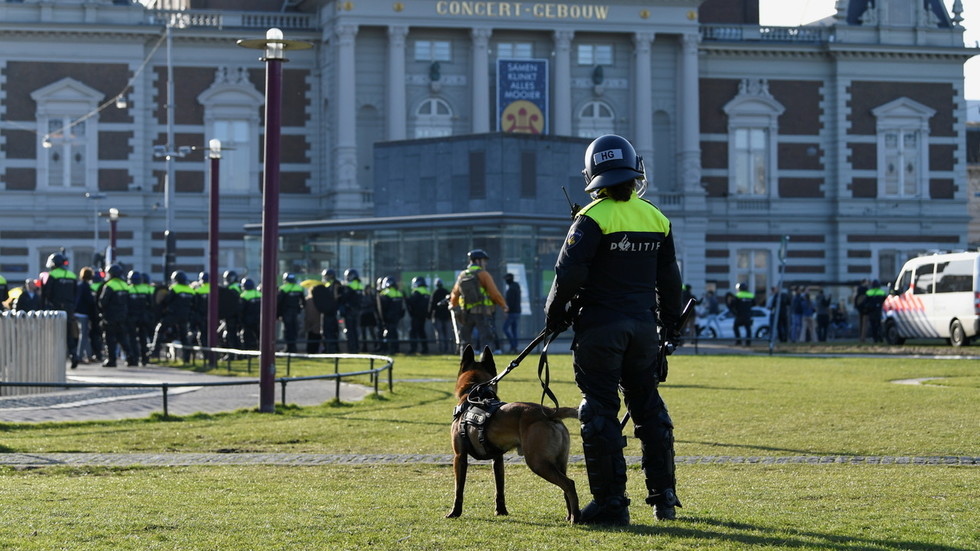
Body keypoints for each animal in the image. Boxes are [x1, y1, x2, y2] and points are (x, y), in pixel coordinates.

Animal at [446, 344, 580, 520]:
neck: (473, 393)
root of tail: (549, 412)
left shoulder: (459, 457)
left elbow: (458, 489)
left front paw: (455, 512)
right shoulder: (497, 459)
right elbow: (499, 488)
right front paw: (501, 510)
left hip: (538, 462)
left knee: (569, 484)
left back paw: (576, 517)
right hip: (559, 462)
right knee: (565, 486)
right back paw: (570, 516)